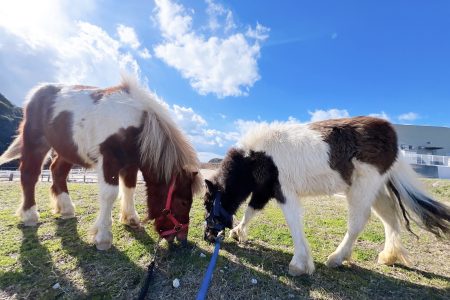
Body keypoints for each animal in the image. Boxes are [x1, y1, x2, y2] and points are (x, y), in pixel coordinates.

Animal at [0, 76, 203, 250]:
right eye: (184, 202)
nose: (182, 239)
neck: (136, 125)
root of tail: (36, 92)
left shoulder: (130, 165)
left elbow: (129, 189)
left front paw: (131, 218)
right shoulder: (109, 160)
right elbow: (110, 194)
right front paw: (103, 237)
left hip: (67, 150)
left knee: (57, 172)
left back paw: (67, 209)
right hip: (36, 142)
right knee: (29, 174)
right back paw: (30, 215)